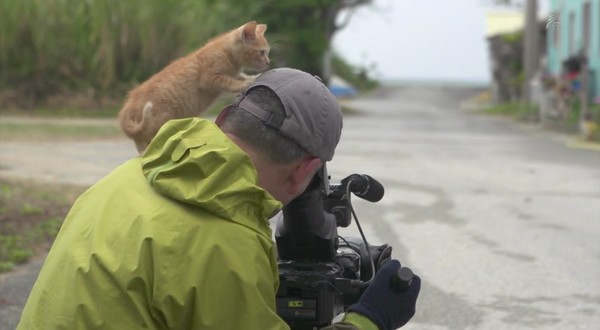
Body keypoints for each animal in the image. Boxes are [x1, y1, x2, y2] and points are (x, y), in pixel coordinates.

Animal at [118, 21, 268, 153]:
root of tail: (129, 103)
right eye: (261, 52)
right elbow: (230, 82)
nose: (267, 62)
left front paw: (252, 77)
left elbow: (240, 76)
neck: (227, 52)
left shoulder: (233, 74)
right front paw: (245, 83)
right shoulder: (209, 78)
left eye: (267, 52)